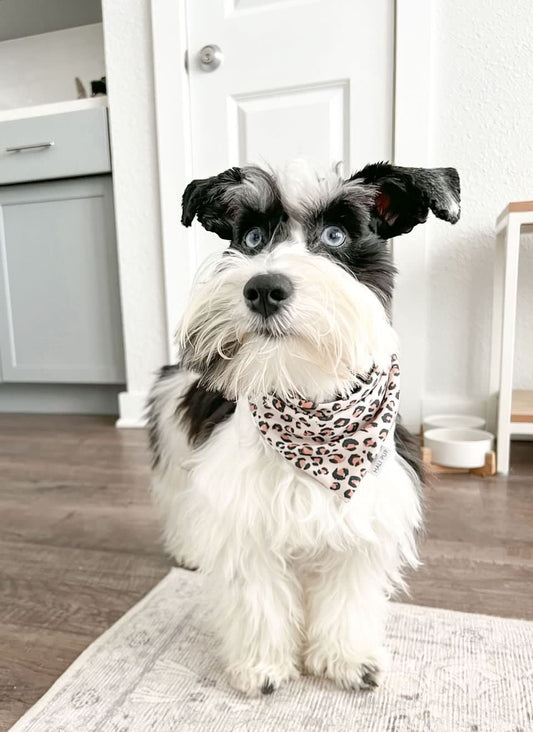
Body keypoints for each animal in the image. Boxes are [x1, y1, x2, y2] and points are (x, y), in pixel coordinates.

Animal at [148, 160, 460, 696]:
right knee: (180, 502)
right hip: (176, 443)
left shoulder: (363, 522)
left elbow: (347, 600)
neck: (309, 404)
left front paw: (346, 660)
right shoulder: (245, 516)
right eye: (251, 237)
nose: (262, 288)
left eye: (336, 235)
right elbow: (259, 600)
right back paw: (189, 549)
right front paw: (262, 667)